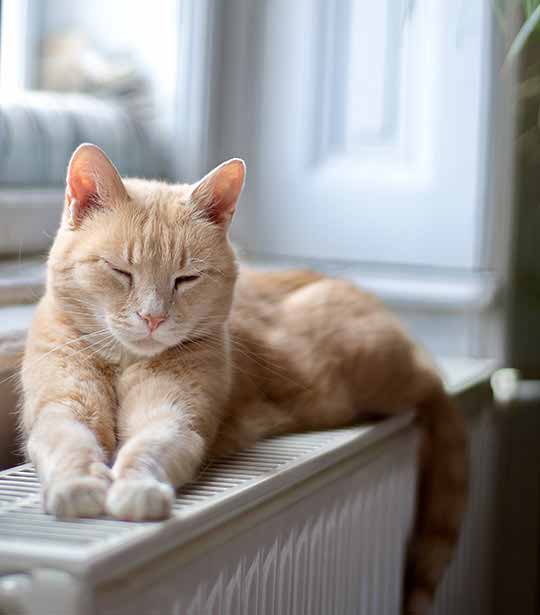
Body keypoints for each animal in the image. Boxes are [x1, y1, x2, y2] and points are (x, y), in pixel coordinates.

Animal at [21, 143, 468, 612]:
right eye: (120, 271)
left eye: (186, 279)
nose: (152, 317)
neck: (126, 362)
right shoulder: (62, 408)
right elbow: (69, 440)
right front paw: (78, 485)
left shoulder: (174, 416)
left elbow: (148, 447)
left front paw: (136, 489)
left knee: (432, 389)